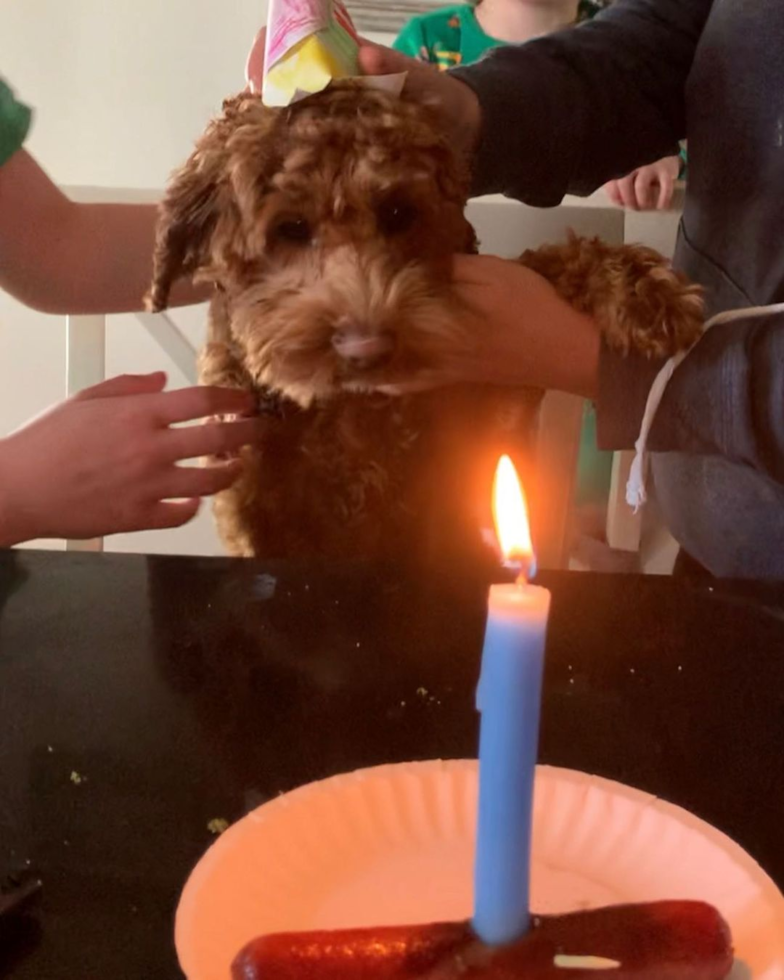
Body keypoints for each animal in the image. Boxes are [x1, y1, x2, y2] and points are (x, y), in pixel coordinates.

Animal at [149, 84, 704, 568]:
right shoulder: (253, 506)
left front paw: (640, 290)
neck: (352, 408)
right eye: (291, 228)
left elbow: (543, 262)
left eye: (398, 212)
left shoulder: (491, 422)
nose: (367, 349)